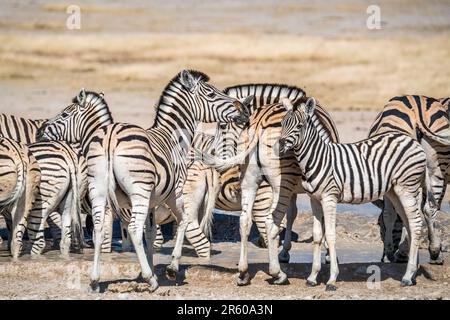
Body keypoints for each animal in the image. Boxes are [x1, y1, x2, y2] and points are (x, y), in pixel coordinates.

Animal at [37, 70, 250, 292]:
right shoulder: (174, 192)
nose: (244, 110)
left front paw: (150, 268)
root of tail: (110, 136)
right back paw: (150, 280)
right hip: (139, 191)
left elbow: (150, 234)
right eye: (211, 94)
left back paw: (95, 280)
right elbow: (179, 222)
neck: (175, 139)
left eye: (64, 114)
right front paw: (169, 269)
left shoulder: (152, 202)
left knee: (100, 228)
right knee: (136, 228)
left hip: (101, 189)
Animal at [202, 84, 340, 284]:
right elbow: (314, 220)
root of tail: (259, 124)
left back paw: (243, 273)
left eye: (222, 125)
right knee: (270, 220)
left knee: (245, 220)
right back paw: (278, 273)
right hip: (280, 183)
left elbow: (293, 214)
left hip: (253, 180)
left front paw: (286, 251)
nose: (213, 157)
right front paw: (327, 255)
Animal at [282, 96, 428, 288]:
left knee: (416, 224)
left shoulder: (329, 197)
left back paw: (407, 275)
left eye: (299, 126)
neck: (318, 158)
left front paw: (332, 279)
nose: (279, 145)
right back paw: (413, 274)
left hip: (407, 188)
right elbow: (317, 236)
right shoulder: (314, 199)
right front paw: (312, 277)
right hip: (396, 191)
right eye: (282, 123)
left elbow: (330, 234)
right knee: (410, 224)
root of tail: (414, 142)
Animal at [370, 95, 450, 264]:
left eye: (379, 225)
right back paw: (434, 251)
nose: (382, 260)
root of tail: (418, 107)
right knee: (428, 208)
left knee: (410, 210)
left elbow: (391, 213)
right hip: (435, 168)